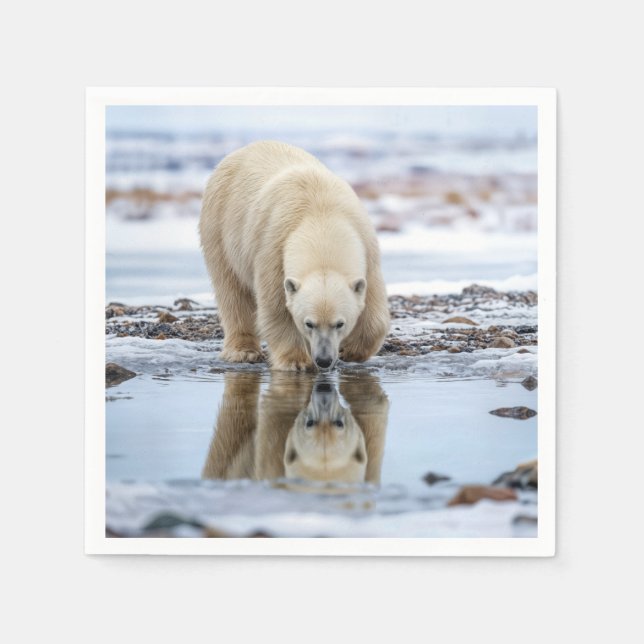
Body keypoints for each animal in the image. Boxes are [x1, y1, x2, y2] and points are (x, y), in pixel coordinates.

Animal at [199, 140, 390, 371]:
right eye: (309, 323)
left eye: (339, 323)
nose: (324, 360)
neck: (321, 218)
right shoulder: (272, 250)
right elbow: (277, 309)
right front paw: (296, 361)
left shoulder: (367, 250)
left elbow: (373, 310)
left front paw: (351, 350)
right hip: (219, 227)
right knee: (232, 291)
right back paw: (243, 351)